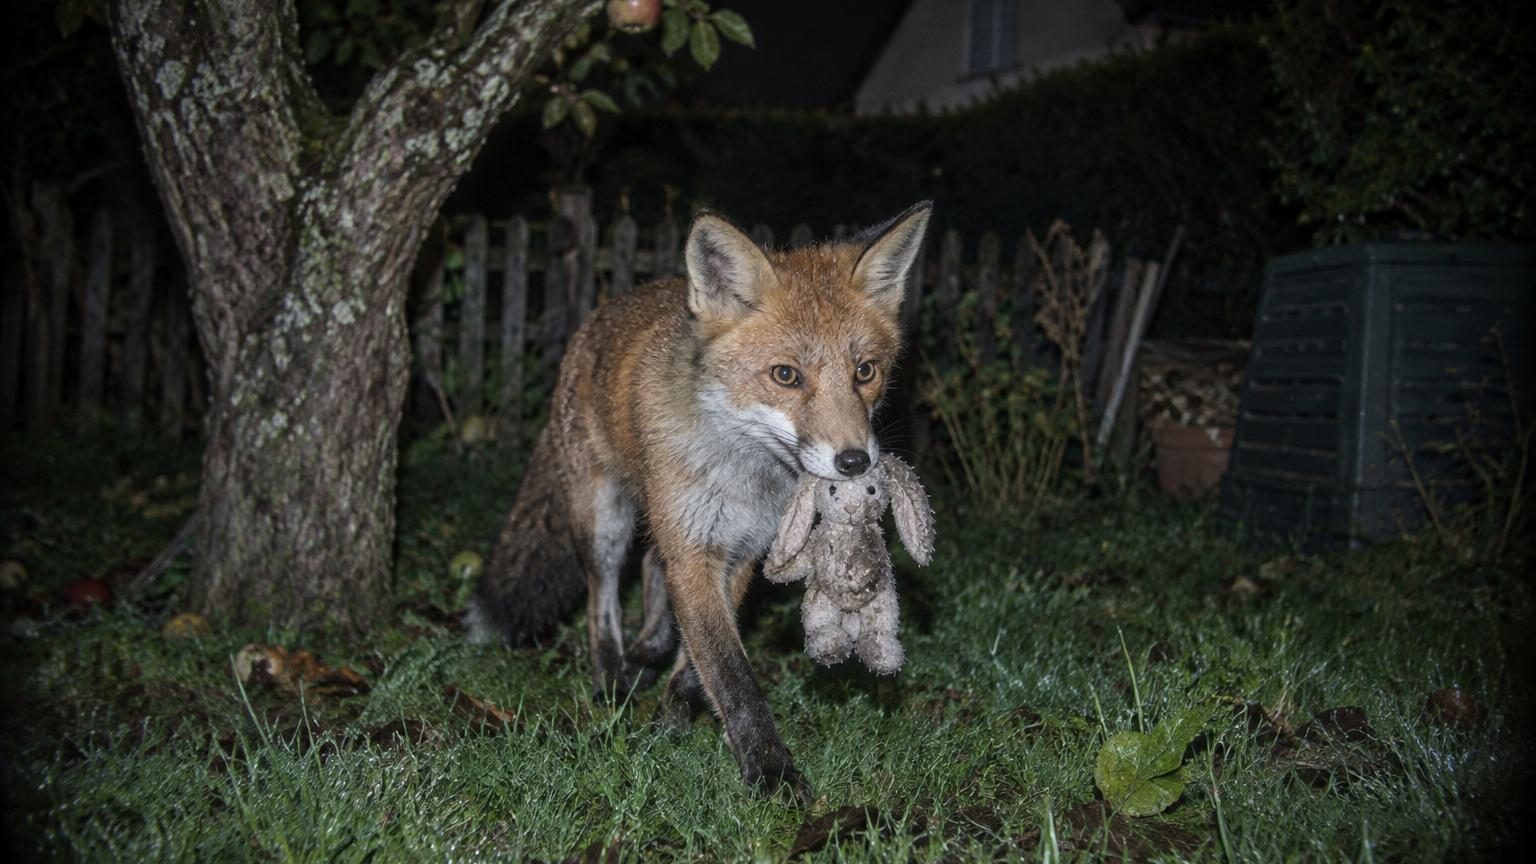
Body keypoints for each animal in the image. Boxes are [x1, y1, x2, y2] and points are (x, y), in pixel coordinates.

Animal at [467, 201, 933, 799]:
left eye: (865, 372)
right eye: (786, 375)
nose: (855, 462)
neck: (746, 475)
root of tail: (606, 310)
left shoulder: (743, 552)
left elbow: (698, 662)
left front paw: (670, 720)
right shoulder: (696, 549)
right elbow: (731, 674)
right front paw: (770, 772)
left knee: (650, 567)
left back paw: (647, 651)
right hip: (605, 516)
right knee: (602, 593)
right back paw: (611, 679)